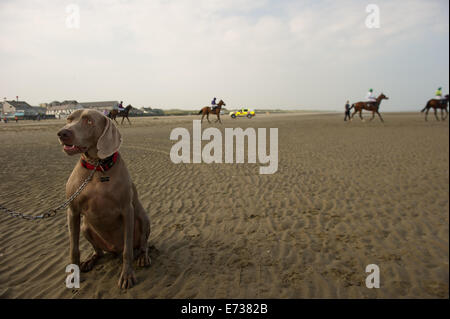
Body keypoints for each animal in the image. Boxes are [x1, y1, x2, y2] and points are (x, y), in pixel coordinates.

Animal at [56, 109, 149, 288]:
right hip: (85, 227)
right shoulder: (73, 211)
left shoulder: (127, 210)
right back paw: (90, 261)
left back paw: (143, 257)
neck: (97, 167)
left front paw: (127, 275)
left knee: (141, 245)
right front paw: (73, 274)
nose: (62, 133)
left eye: (89, 121)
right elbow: (74, 249)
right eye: (69, 119)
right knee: (98, 251)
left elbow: (128, 251)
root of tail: (113, 248)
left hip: (143, 219)